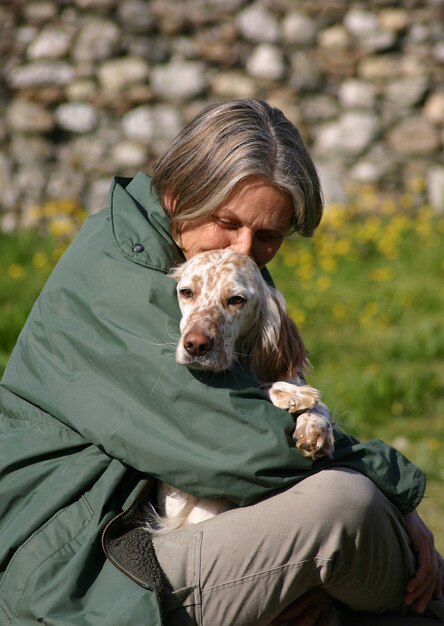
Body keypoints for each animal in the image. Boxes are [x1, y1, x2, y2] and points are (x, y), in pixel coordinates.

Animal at [149, 249, 332, 532]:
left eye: (236, 299)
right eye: (186, 292)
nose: (195, 345)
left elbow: (320, 407)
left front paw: (313, 425)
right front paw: (289, 395)